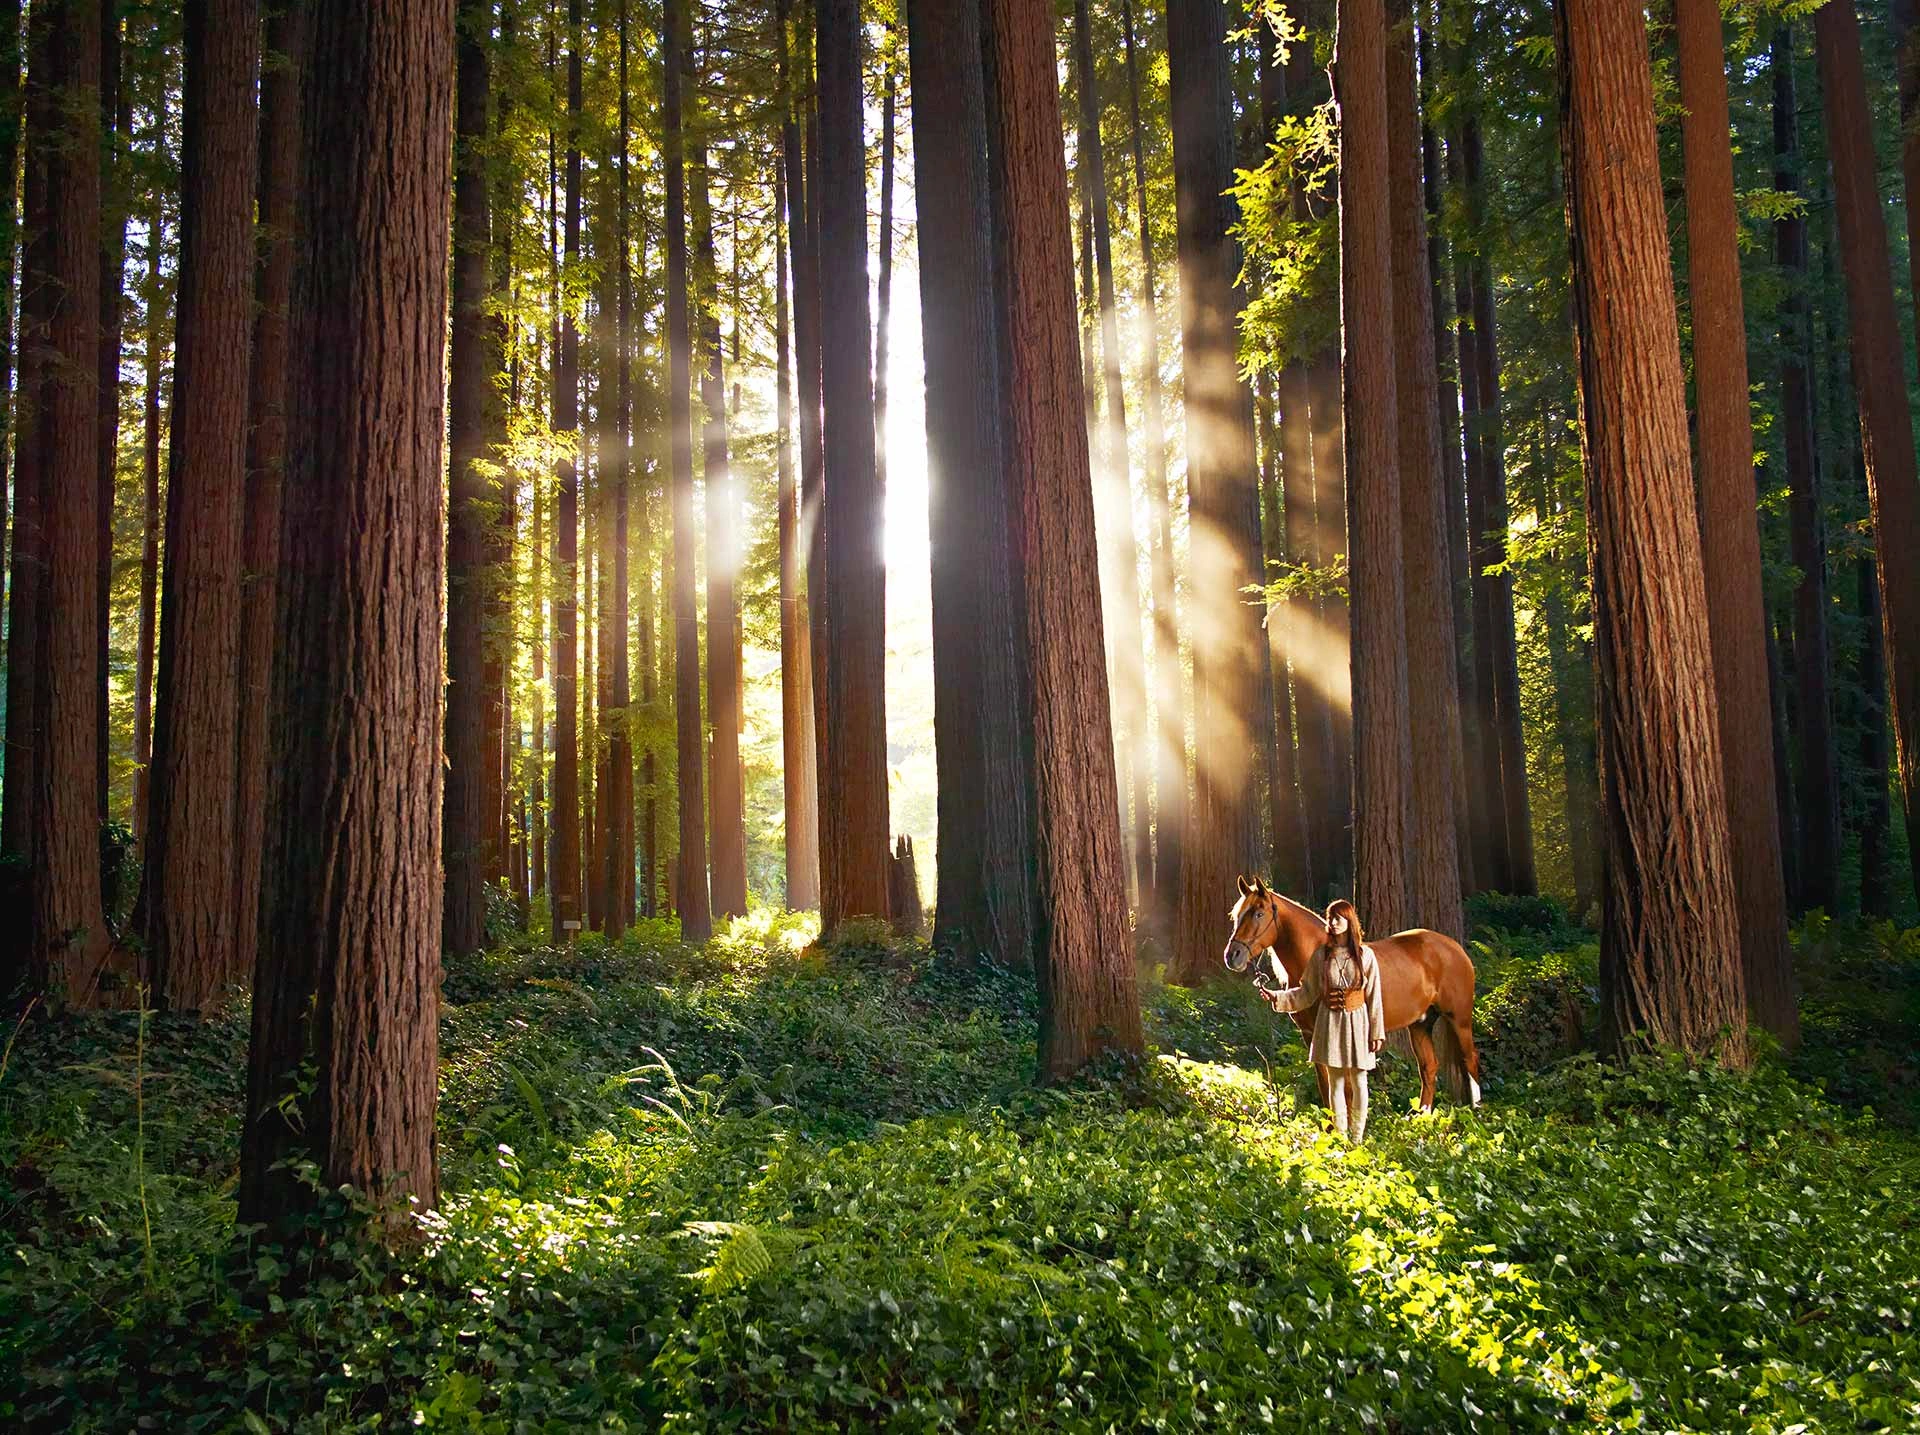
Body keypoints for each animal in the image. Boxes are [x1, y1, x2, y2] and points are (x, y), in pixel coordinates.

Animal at [1221, 876, 1483, 1113]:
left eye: (1259, 913)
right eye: (1236, 915)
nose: (1232, 956)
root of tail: (1455, 947)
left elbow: (1345, 1089)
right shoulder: (1310, 1035)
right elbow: (1324, 1084)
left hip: (1459, 1020)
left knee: (1470, 1061)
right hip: (1420, 1024)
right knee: (1429, 1068)